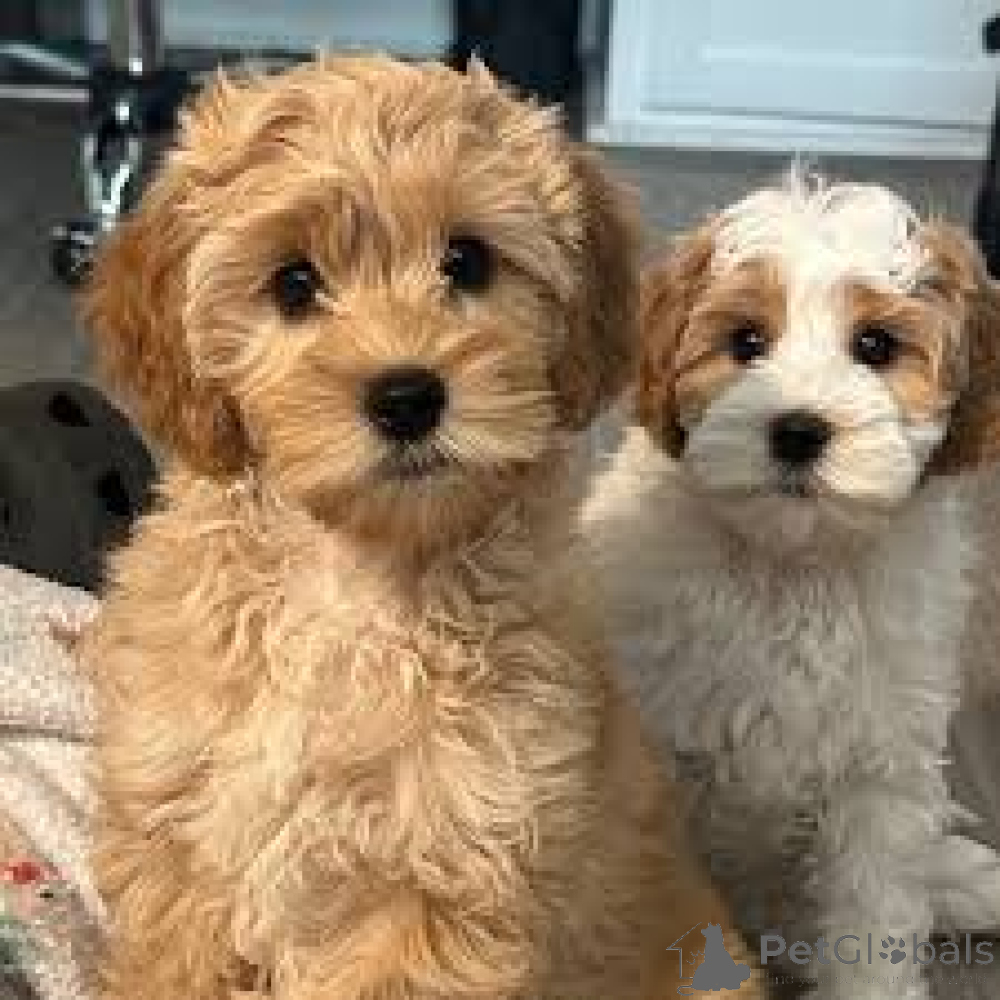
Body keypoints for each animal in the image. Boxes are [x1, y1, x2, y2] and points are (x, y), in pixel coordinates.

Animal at [79, 56, 754, 1000]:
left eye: (466, 261)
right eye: (293, 284)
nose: (406, 397)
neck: (353, 590)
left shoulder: (439, 879)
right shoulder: (176, 834)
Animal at [583, 167, 1000, 999]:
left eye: (875, 345)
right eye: (746, 342)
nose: (798, 430)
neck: (791, 567)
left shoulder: (883, 766)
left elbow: (878, 908)